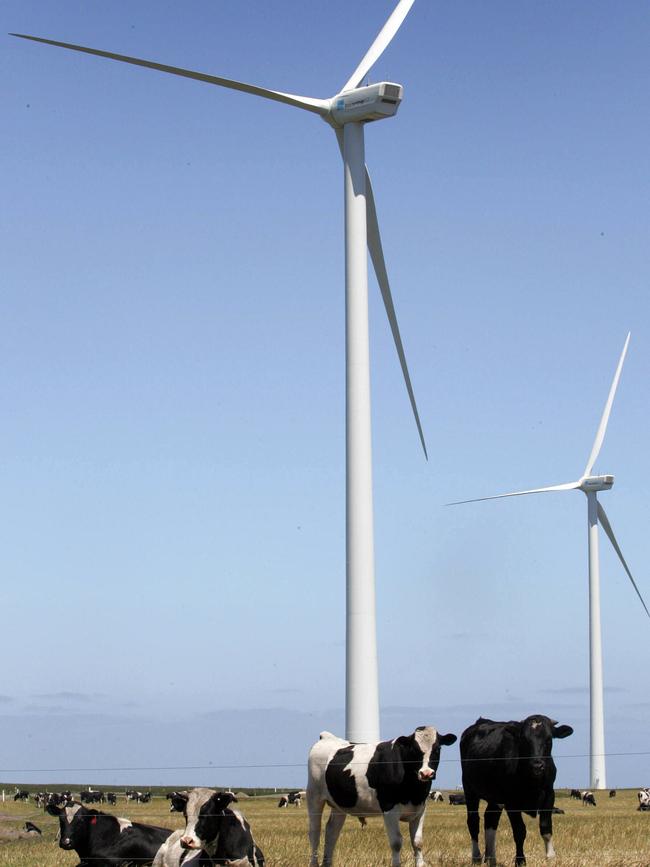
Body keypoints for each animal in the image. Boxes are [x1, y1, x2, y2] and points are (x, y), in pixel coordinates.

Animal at [306, 724, 454, 867]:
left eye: (437, 749)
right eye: (414, 749)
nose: (426, 773)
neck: (413, 791)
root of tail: (326, 738)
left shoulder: (420, 809)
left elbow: (418, 842)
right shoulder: (389, 809)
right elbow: (396, 842)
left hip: (339, 805)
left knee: (332, 831)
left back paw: (327, 863)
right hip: (314, 796)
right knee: (315, 832)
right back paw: (314, 863)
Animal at [458, 712, 568, 867]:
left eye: (549, 739)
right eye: (524, 739)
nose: (537, 765)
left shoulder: (549, 794)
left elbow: (546, 827)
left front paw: (551, 857)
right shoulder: (511, 802)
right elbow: (519, 831)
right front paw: (520, 860)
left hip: (495, 797)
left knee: (490, 820)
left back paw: (491, 858)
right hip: (469, 790)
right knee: (473, 822)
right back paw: (477, 857)